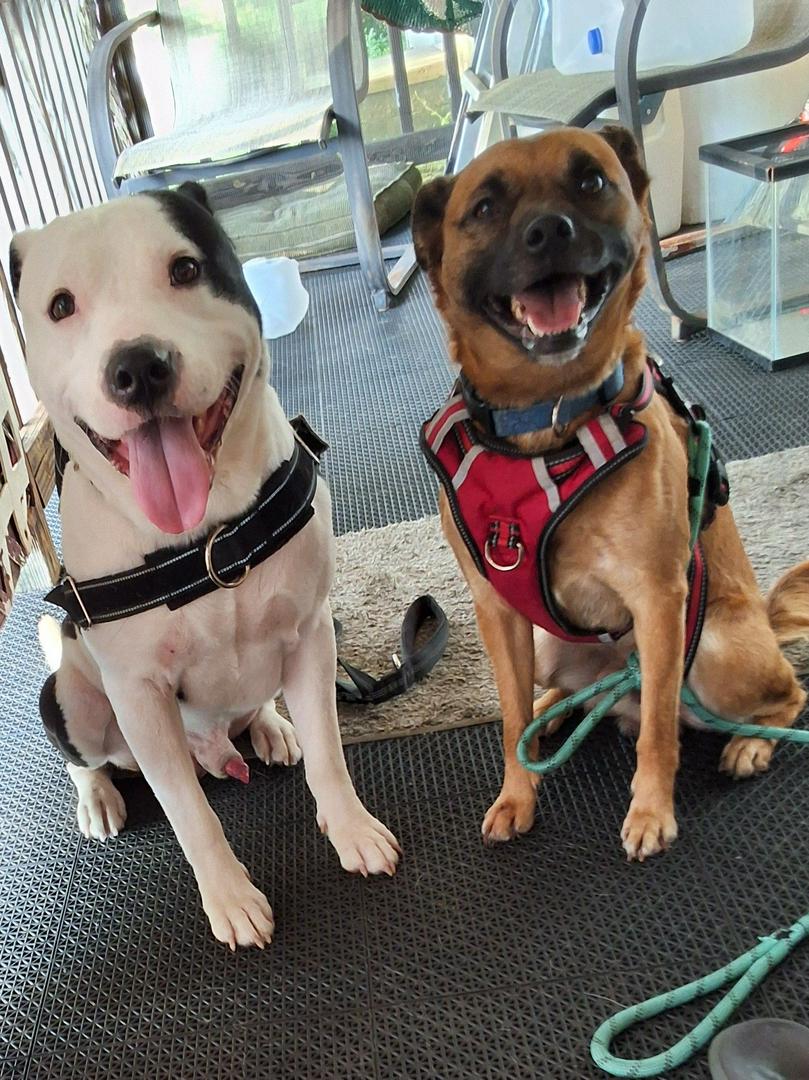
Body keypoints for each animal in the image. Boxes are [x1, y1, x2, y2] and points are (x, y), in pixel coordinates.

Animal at [11, 182, 399, 948]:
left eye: (186, 269)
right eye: (61, 305)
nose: (137, 366)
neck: (204, 538)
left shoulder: (313, 634)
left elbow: (330, 754)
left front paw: (350, 829)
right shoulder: (141, 698)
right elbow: (191, 815)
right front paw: (230, 897)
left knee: (261, 704)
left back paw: (271, 726)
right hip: (71, 698)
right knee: (84, 755)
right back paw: (99, 795)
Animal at [413, 126, 809, 861]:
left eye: (591, 182)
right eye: (484, 208)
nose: (549, 230)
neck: (545, 423)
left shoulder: (658, 600)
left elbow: (659, 731)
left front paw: (651, 811)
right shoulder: (497, 611)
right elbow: (507, 715)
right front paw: (517, 795)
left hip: (710, 648)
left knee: (781, 695)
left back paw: (748, 744)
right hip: (549, 647)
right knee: (553, 702)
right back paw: (552, 716)